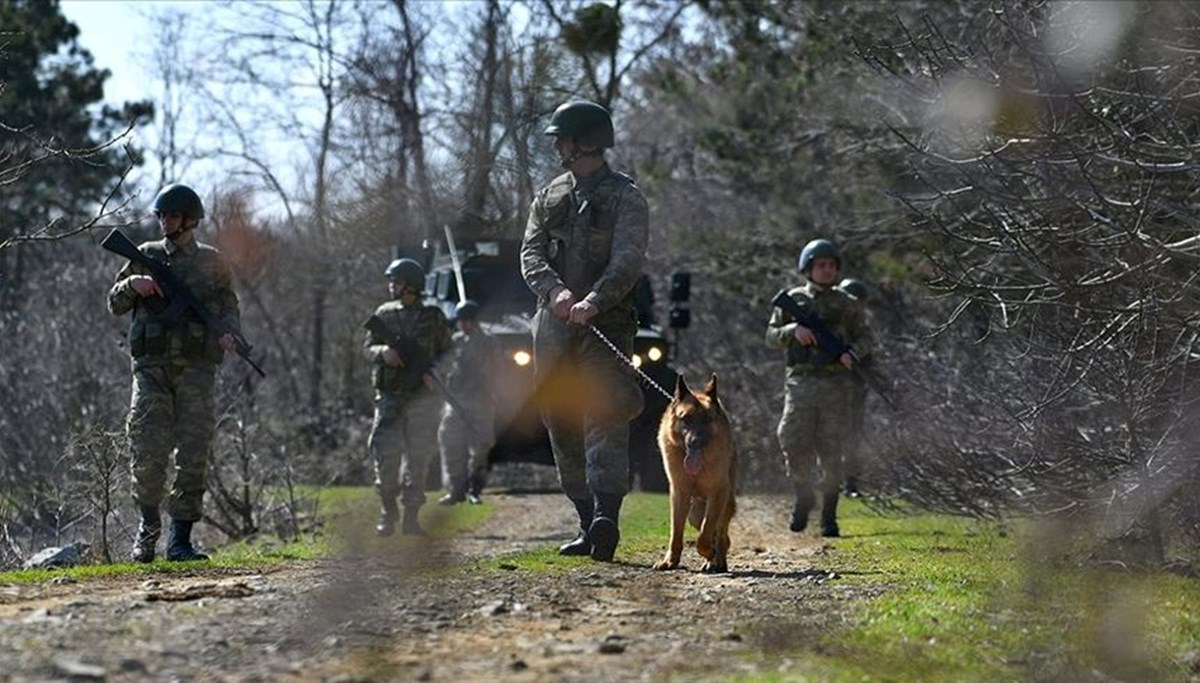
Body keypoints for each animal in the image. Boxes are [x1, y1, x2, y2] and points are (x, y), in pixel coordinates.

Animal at [652, 372, 734, 568]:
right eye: (686, 418)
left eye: (707, 419)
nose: (695, 442)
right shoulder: (679, 494)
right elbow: (676, 532)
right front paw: (670, 561)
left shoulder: (718, 493)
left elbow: (705, 535)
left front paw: (709, 552)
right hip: (695, 513)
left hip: (723, 504)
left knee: (721, 534)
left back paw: (717, 561)